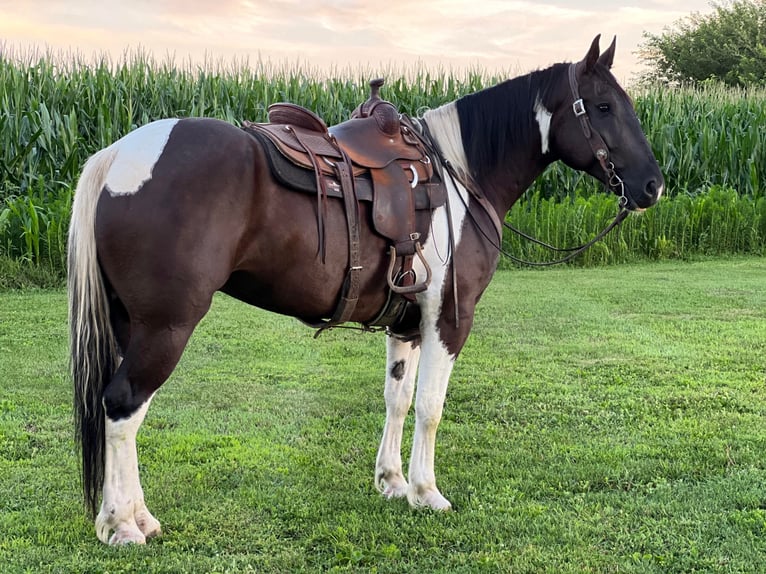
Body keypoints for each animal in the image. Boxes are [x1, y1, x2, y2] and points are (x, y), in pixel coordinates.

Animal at [69, 33, 664, 548]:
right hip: (166, 325)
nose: (654, 185)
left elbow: (397, 399)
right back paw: (121, 525)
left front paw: (392, 482)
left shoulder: (408, 322)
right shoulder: (448, 319)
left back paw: (134, 518)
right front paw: (427, 491)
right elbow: (430, 406)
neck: (460, 178)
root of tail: (118, 155)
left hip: (131, 325)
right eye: (604, 107)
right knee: (124, 405)